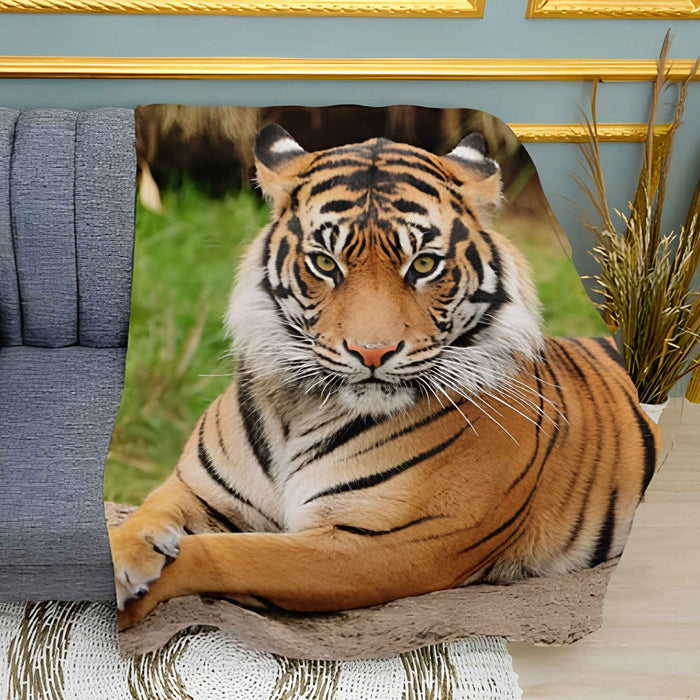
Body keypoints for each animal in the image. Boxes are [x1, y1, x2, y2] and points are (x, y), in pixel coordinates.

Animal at [110, 124, 660, 630]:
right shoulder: (197, 490)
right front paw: (121, 553)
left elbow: (221, 554)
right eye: (324, 263)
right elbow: (145, 514)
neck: (299, 408)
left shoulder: (381, 545)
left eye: (423, 264)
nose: (371, 353)